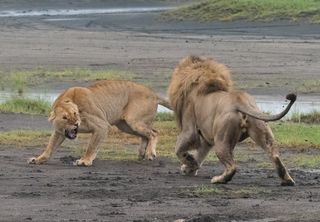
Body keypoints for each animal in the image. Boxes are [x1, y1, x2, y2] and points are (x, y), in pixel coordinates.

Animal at [28, 80, 171, 166]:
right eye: (65, 117)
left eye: (75, 114)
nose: (76, 124)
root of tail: (153, 92)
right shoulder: (60, 131)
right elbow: (50, 146)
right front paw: (39, 159)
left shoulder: (102, 126)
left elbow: (91, 146)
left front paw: (85, 161)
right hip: (125, 125)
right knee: (145, 135)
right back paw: (142, 153)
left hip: (133, 121)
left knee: (153, 132)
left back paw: (150, 153)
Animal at [169, 56, 296, 186]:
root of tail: (240, 101)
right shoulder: (206, 136)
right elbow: (201, 152)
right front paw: (190, 168)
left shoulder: (189, 127)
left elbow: (178, 149)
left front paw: (190, 163)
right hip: (260, 128)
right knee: (274, 155)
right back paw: (287, 180)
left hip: (221, 139)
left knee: (232, 167)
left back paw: (218, 179)